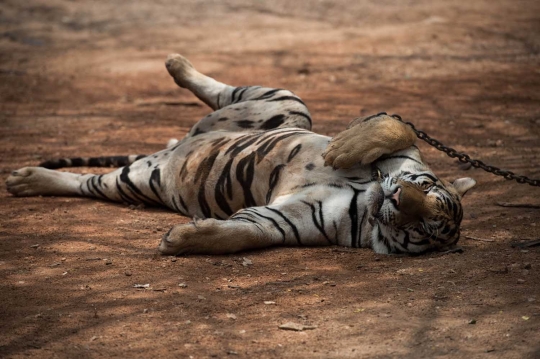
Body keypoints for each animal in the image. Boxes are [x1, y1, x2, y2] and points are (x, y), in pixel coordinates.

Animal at [6, 53, 474, 256]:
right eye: (424, 189)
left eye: (425, 228)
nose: (396, 198)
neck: (370, 199)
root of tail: (175, 144)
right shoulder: (403, 152)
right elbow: (396, 126)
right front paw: (341, 148)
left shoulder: (285, 220)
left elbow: (241, 233)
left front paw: (181, 240)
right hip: (285, 103)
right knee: (225, 89)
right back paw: (175, 62)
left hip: (136, 180)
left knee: (86, 182)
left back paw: (25, 179)